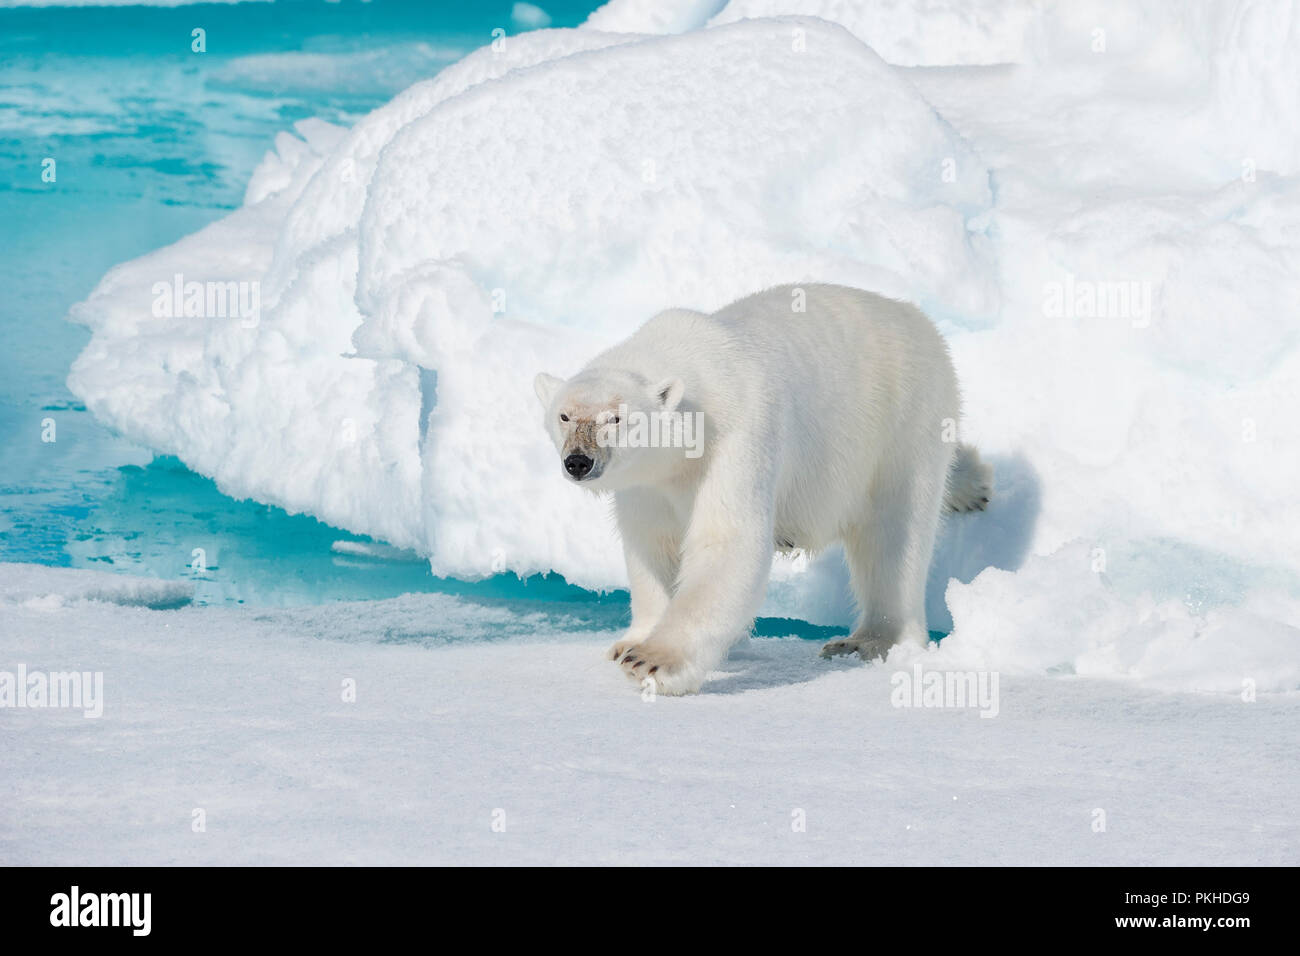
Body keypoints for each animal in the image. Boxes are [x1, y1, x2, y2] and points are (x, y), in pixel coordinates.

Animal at [533, 283, 987, 697]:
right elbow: (652, 548)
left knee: (894, 538)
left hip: (902, 422)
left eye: (616, 418)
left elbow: (728, 544)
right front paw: (630, 641)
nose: (578, 461)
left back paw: (867, 639)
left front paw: (652, 661)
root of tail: (917, 318)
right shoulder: (647, 481)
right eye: (564, 415)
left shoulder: (735, 436)